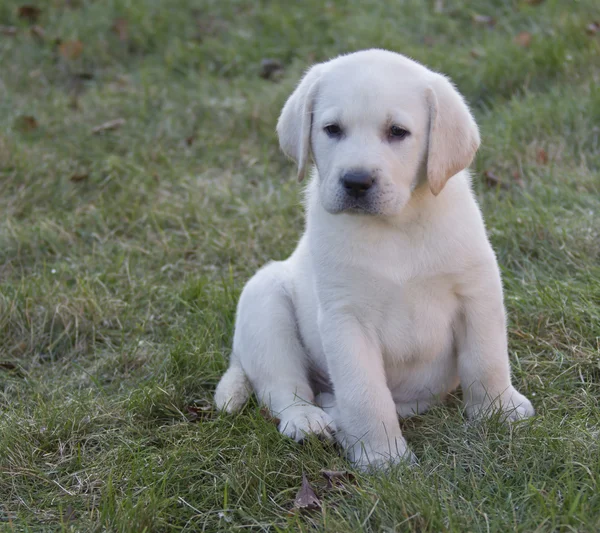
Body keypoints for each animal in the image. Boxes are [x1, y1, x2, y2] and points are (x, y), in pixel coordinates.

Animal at [216, 48, 536, 466]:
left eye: (397, 132)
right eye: (332, 129)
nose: (356, 181)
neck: (396, 227)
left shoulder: (476, 292)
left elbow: (487, 360)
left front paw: (499, 411)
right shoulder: (346, 319)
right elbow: (366, 394)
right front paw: (383, 457)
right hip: (264, 303)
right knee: (283, 387)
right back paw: (308, 421)